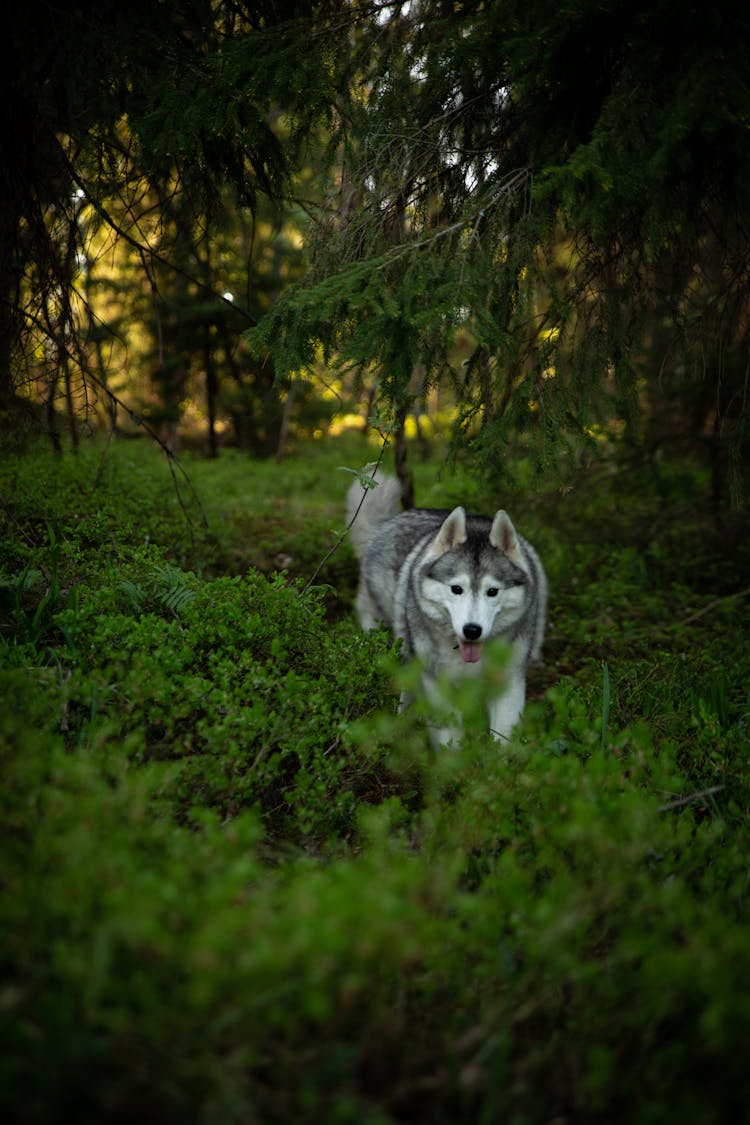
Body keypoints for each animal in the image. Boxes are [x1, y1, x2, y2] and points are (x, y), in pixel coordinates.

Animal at [346, 470, 546, 742]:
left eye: (492, 592)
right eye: (456, 589)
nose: (472, 630)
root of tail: (389, 522)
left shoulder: (508, 682)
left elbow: (502, 738)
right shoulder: (437, 684)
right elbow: (449, 738)